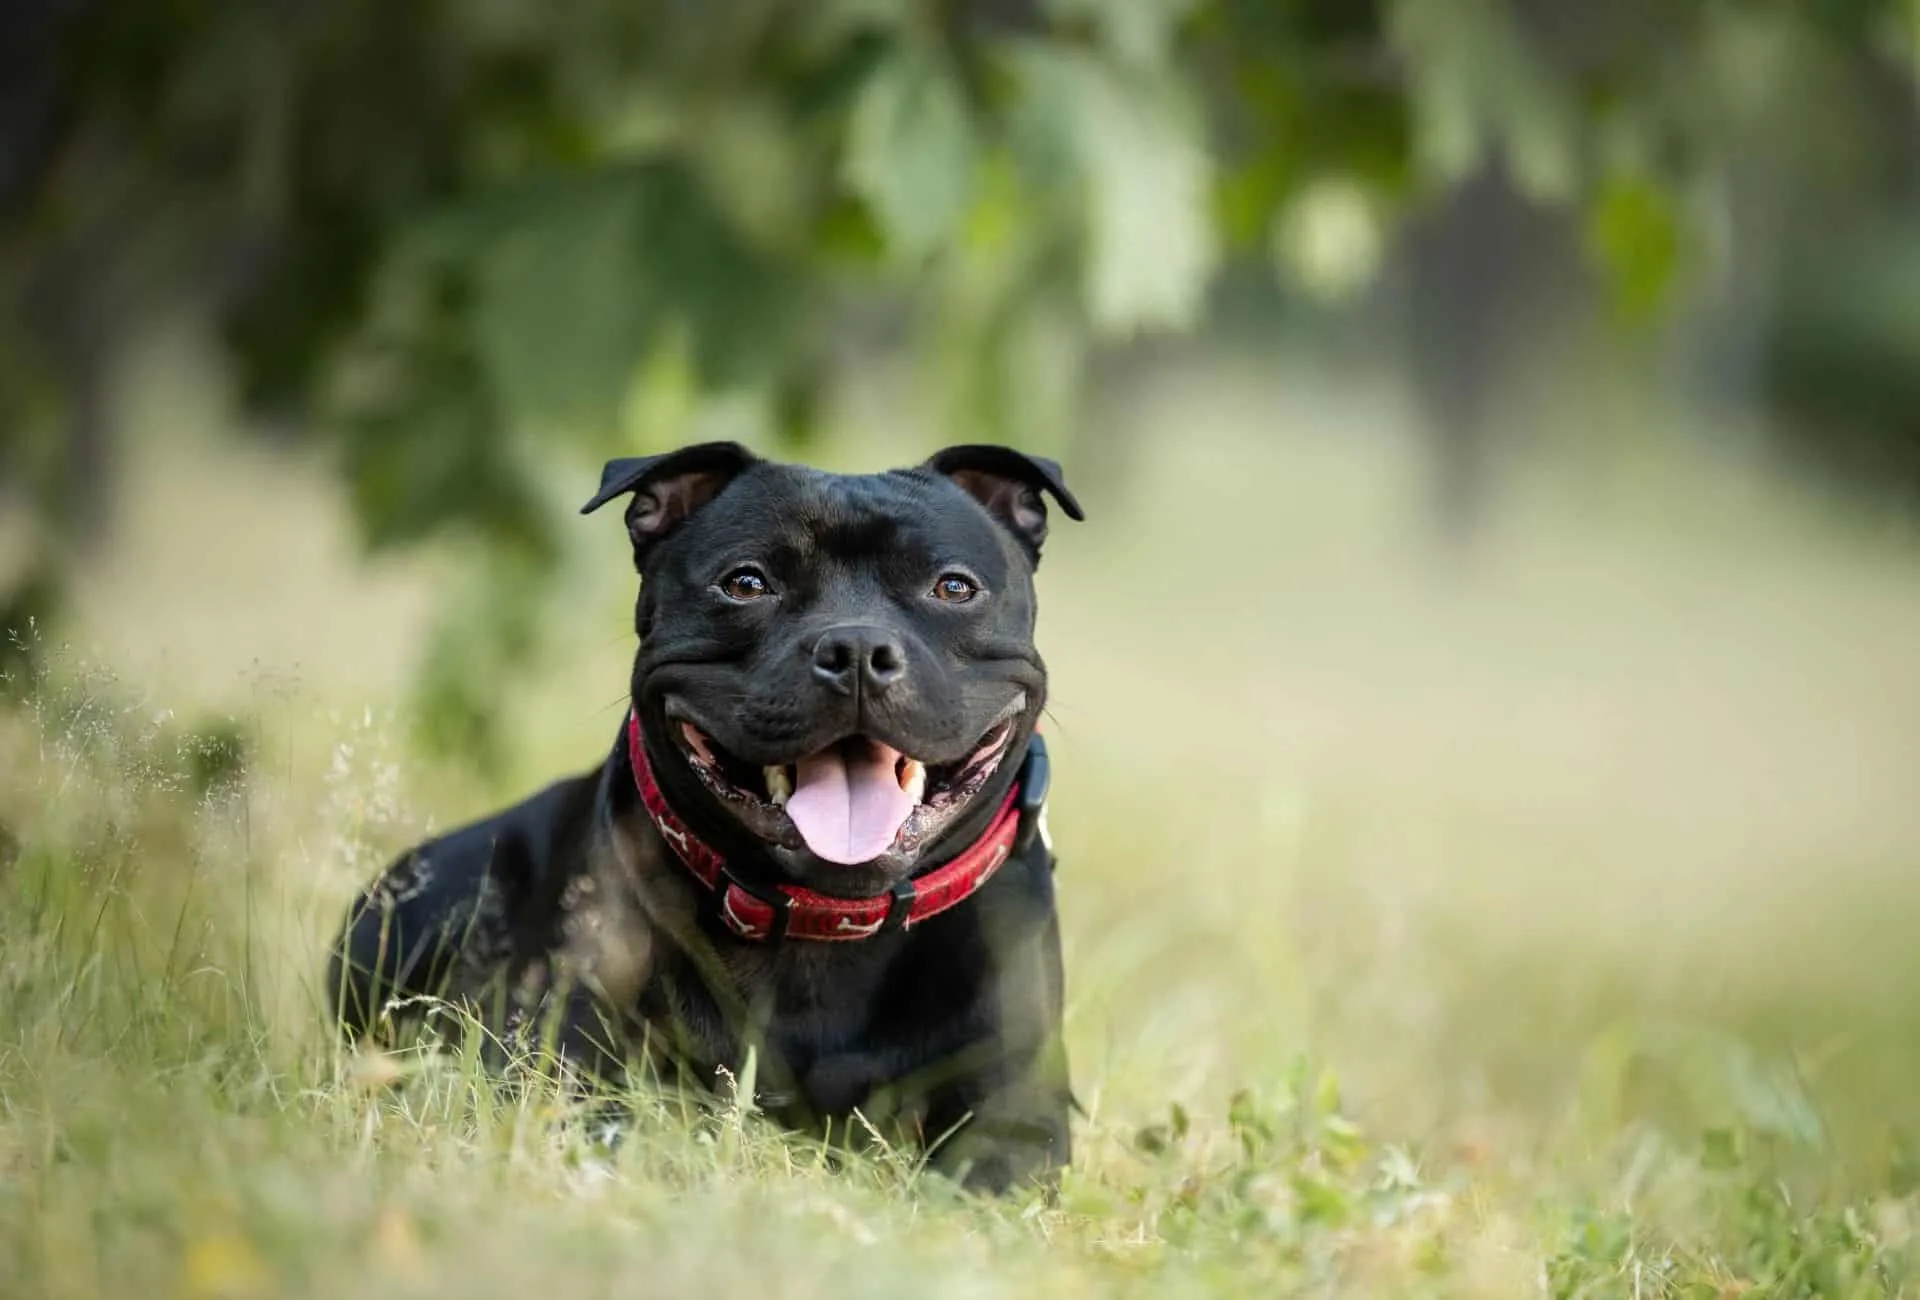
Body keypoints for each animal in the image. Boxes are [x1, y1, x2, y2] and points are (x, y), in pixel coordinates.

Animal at [328, 441, 1082, 1190]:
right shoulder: (569, 1069)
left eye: (953, 588)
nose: (857, 651)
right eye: (745, 584)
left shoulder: (1016, 1124)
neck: (825, 924)